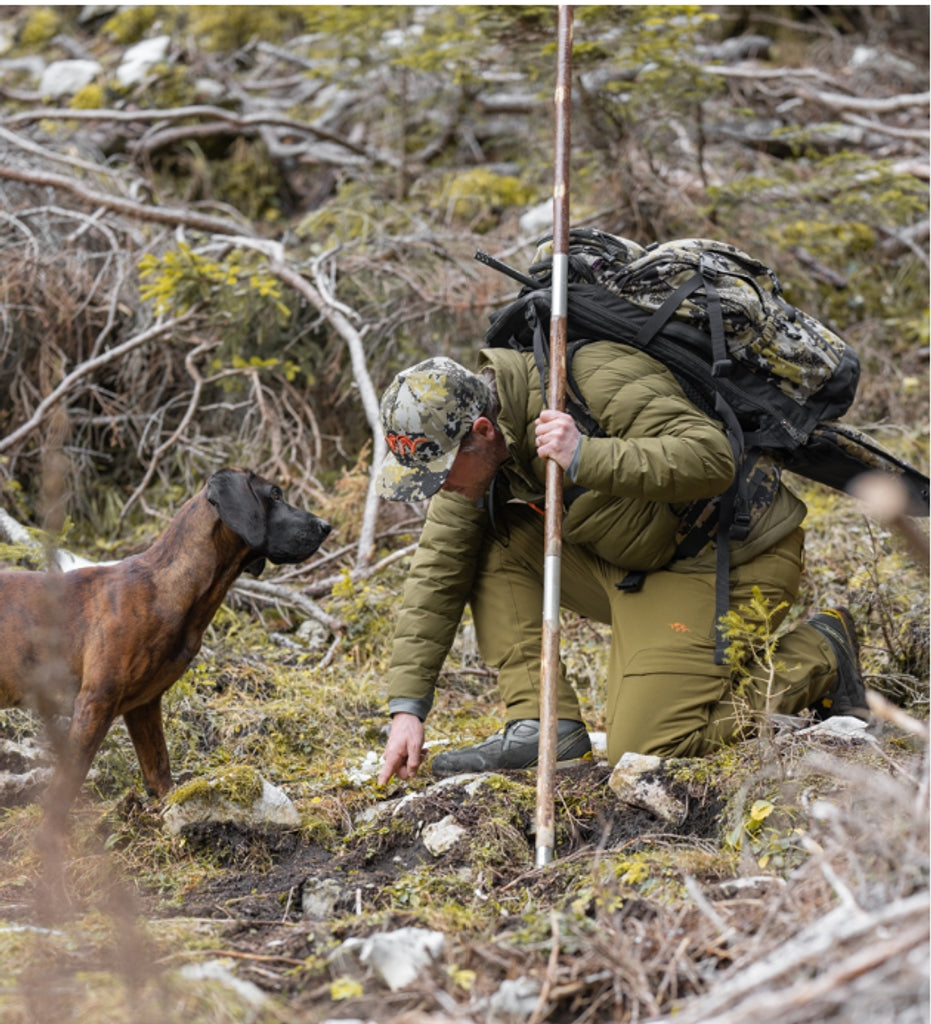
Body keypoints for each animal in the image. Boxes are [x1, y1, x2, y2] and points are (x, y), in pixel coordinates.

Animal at [0, 468, 329, 827]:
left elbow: (159, 771)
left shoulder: (143, 707)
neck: (168, 588)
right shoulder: (95, 703)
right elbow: (67, 781)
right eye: (275, 495)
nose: (326, 526)